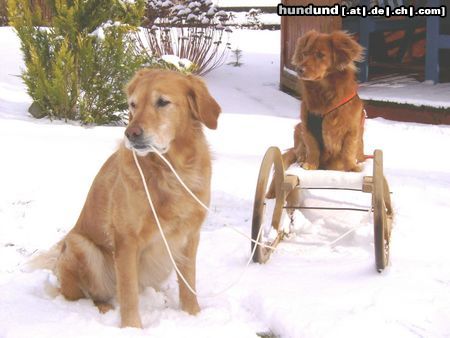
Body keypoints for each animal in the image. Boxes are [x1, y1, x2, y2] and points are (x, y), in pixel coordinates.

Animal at [53, 68, 221, 328]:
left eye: (162, 102)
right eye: (133, 104)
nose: (130, 133)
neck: (170, 170)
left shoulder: (190, 235)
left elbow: (189, 284)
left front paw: (193, 316)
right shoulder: (126, 241)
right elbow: (129, 292)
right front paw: (131, 328)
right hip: (81, 246)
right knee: (88, 295)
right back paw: (105, 308)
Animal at [284, 30, 366, 172]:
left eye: (320, 55)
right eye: (305, 53)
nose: (299, 69)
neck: (324, 92)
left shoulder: (352, 130)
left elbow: (348, 150)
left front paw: (352, 167)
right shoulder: (306, 126)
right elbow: (312, 148)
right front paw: (310, 164)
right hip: (298, 127)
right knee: (298, 150)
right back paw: (301, 158)